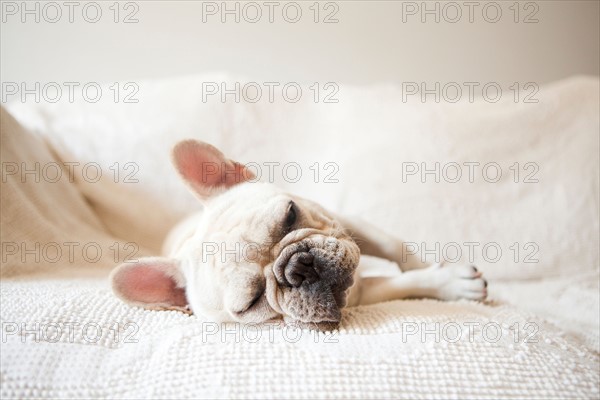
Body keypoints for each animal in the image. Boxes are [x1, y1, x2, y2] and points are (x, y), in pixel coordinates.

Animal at [112, 139, 488, 330]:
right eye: (250, 304)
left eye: (290, 214)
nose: (297, 268)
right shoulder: (359, 294)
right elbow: (401, 284)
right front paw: (450, 283)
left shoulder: (345, 222)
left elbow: (394, 246)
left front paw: (438, 268)